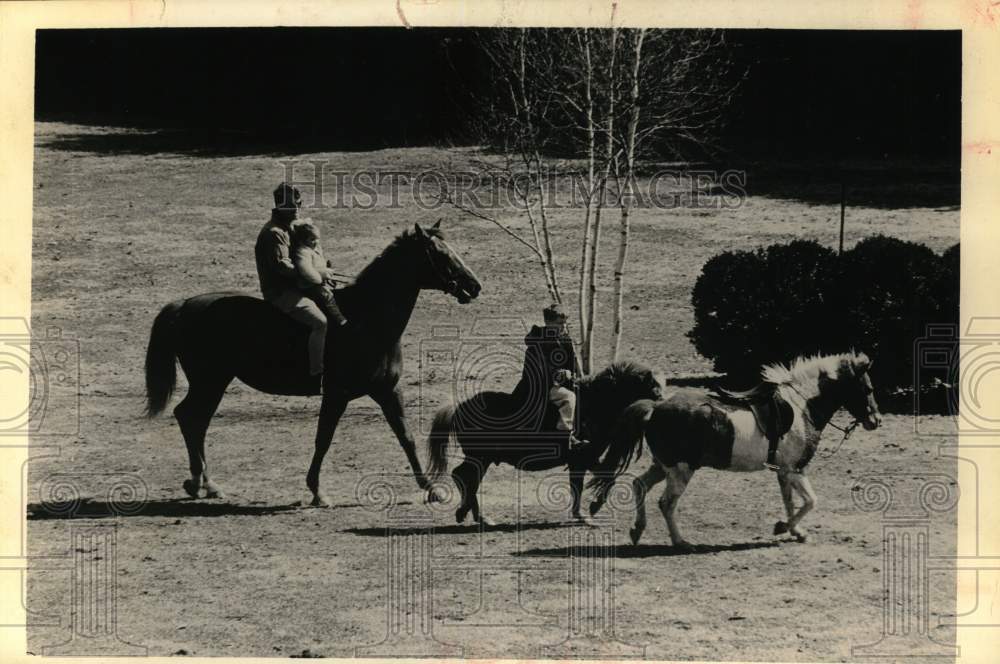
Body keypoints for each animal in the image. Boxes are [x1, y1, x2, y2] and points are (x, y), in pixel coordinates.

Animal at [144, 220, 480, 506]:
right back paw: (201, 482)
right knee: (191, 419)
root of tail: (184, 305)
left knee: (194, 420)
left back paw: (204, 483)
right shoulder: (336, 395)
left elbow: (406, 437)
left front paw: (431, 488)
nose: (474, 286)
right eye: (440, 254)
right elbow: (324, 439)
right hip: (210, 382)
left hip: (212, 384)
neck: (364, 319)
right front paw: (318, 491)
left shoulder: (388, 391)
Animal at [426, 360, 660, 528]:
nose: (659, 406)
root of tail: (458, 408)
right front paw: (591, 510)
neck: (592, 404)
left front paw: (582, 514)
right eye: (653, 389)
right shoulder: (584, 457)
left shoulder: (581, 461)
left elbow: (581, 484)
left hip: (482, 459)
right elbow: (603, 479)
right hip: (481, 458)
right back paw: (472, 514)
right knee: (465, 476)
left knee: (466, 477)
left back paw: (473, 514)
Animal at [588, 350, 880, 548]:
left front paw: (795, 531)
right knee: (666, 503)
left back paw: (638, 529)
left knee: (639, 485)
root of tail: (655, 407)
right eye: (867, 388)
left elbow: (790, 502)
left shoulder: (784, 472)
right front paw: (784, 527)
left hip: (663, 466)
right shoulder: (795, 470)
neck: (802, 407)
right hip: (681, 470)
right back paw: (681, 542)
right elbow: (810, 501)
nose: (875, 421)